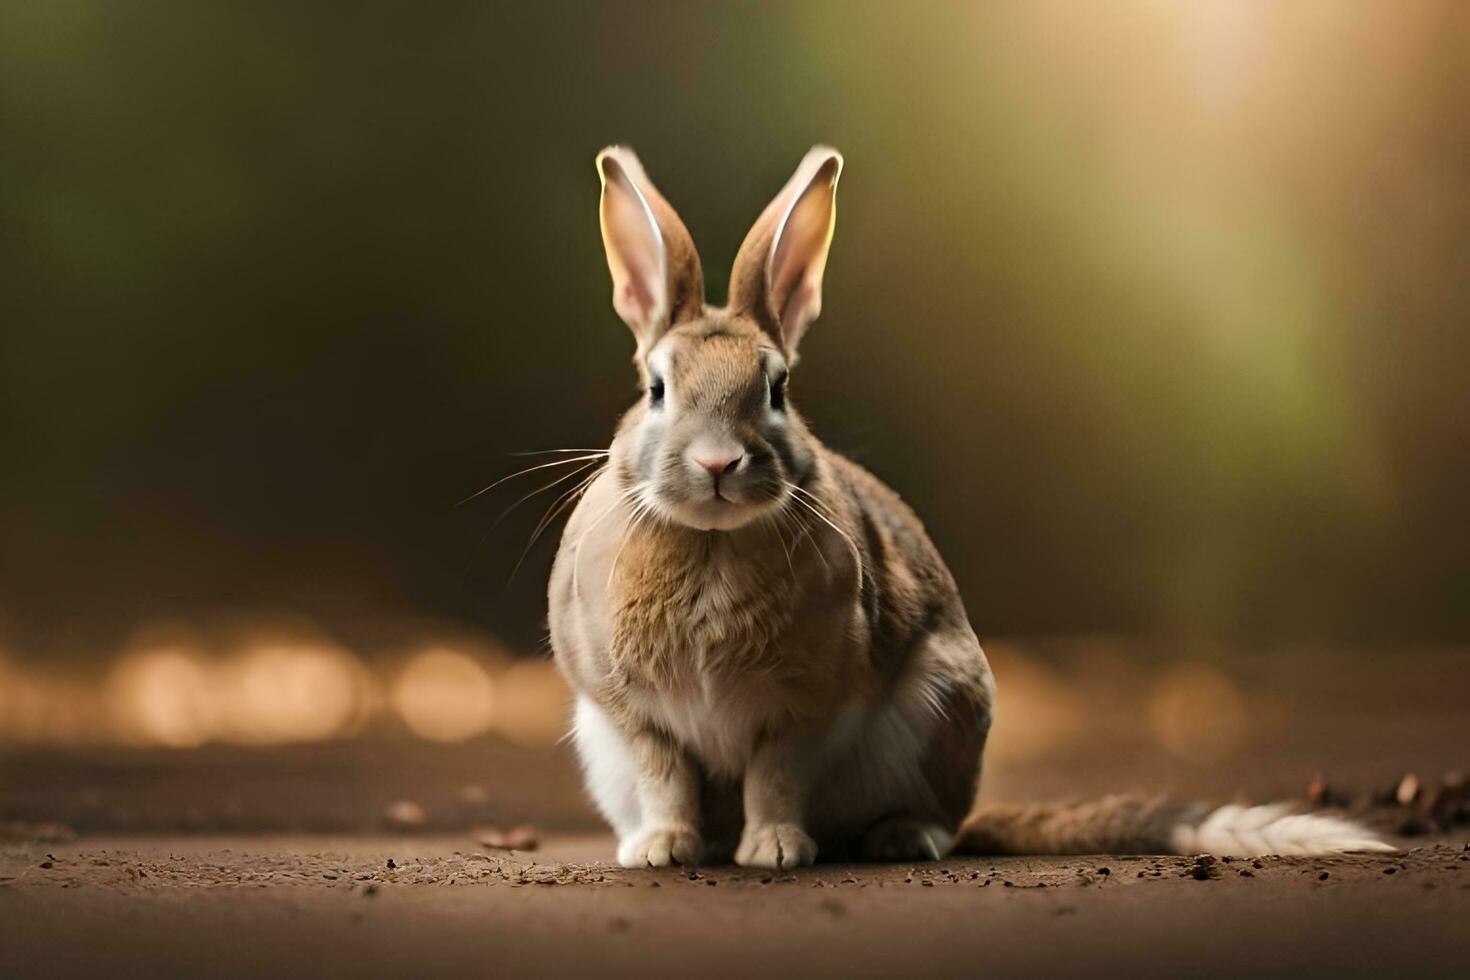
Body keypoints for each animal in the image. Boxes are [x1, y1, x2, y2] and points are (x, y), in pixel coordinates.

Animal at [546, 143, 1393, 863]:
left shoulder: (801, 711)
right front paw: (663, 849)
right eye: (657, 388)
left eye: (776, 389)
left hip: (945, 709)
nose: (718, 462)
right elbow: (667, 780)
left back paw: (899, 839)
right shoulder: (632, 716)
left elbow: (774, 779)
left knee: (935, 823)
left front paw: (777, 851)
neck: (714, 536)